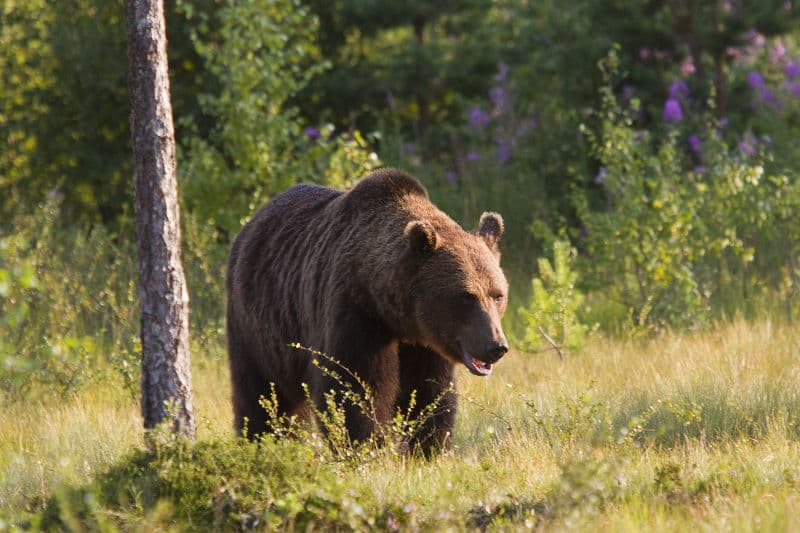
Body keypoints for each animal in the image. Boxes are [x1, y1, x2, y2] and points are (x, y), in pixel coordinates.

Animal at [226, 168, 509, 455]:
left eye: (497, 295)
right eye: (466, 297)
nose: (495, 346)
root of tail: (250, 224)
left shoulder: (425, 342)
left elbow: (429, 390)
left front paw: (428, 446)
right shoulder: (355, 313)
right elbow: (354, 386)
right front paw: (366, 445)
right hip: (257, 324)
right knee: (261, 391)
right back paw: (262, 439)